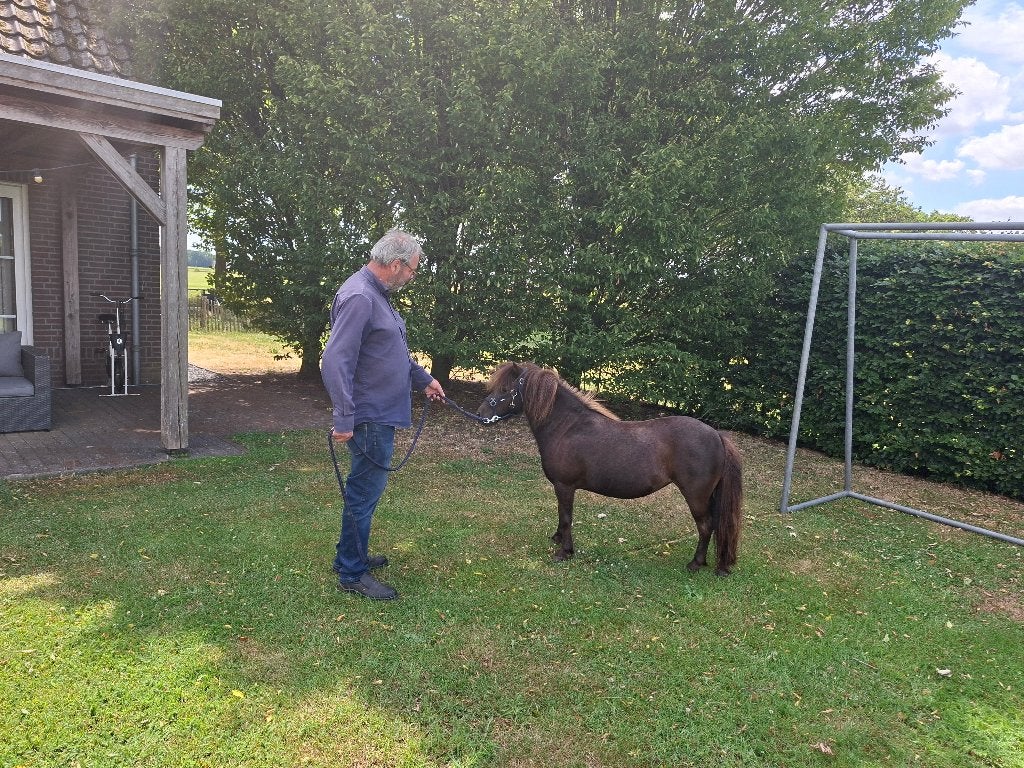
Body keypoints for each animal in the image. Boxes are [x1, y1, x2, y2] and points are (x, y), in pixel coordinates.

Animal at [477, 361, 743, 575]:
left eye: (504, 390)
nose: (481, 414)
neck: (566, 427)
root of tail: (717, 435)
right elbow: (562, 516)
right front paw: (557, 540)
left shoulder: (565, 486)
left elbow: (566, 517)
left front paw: (564, 552)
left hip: (696, 496)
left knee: (705, 526)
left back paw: (696, 564)